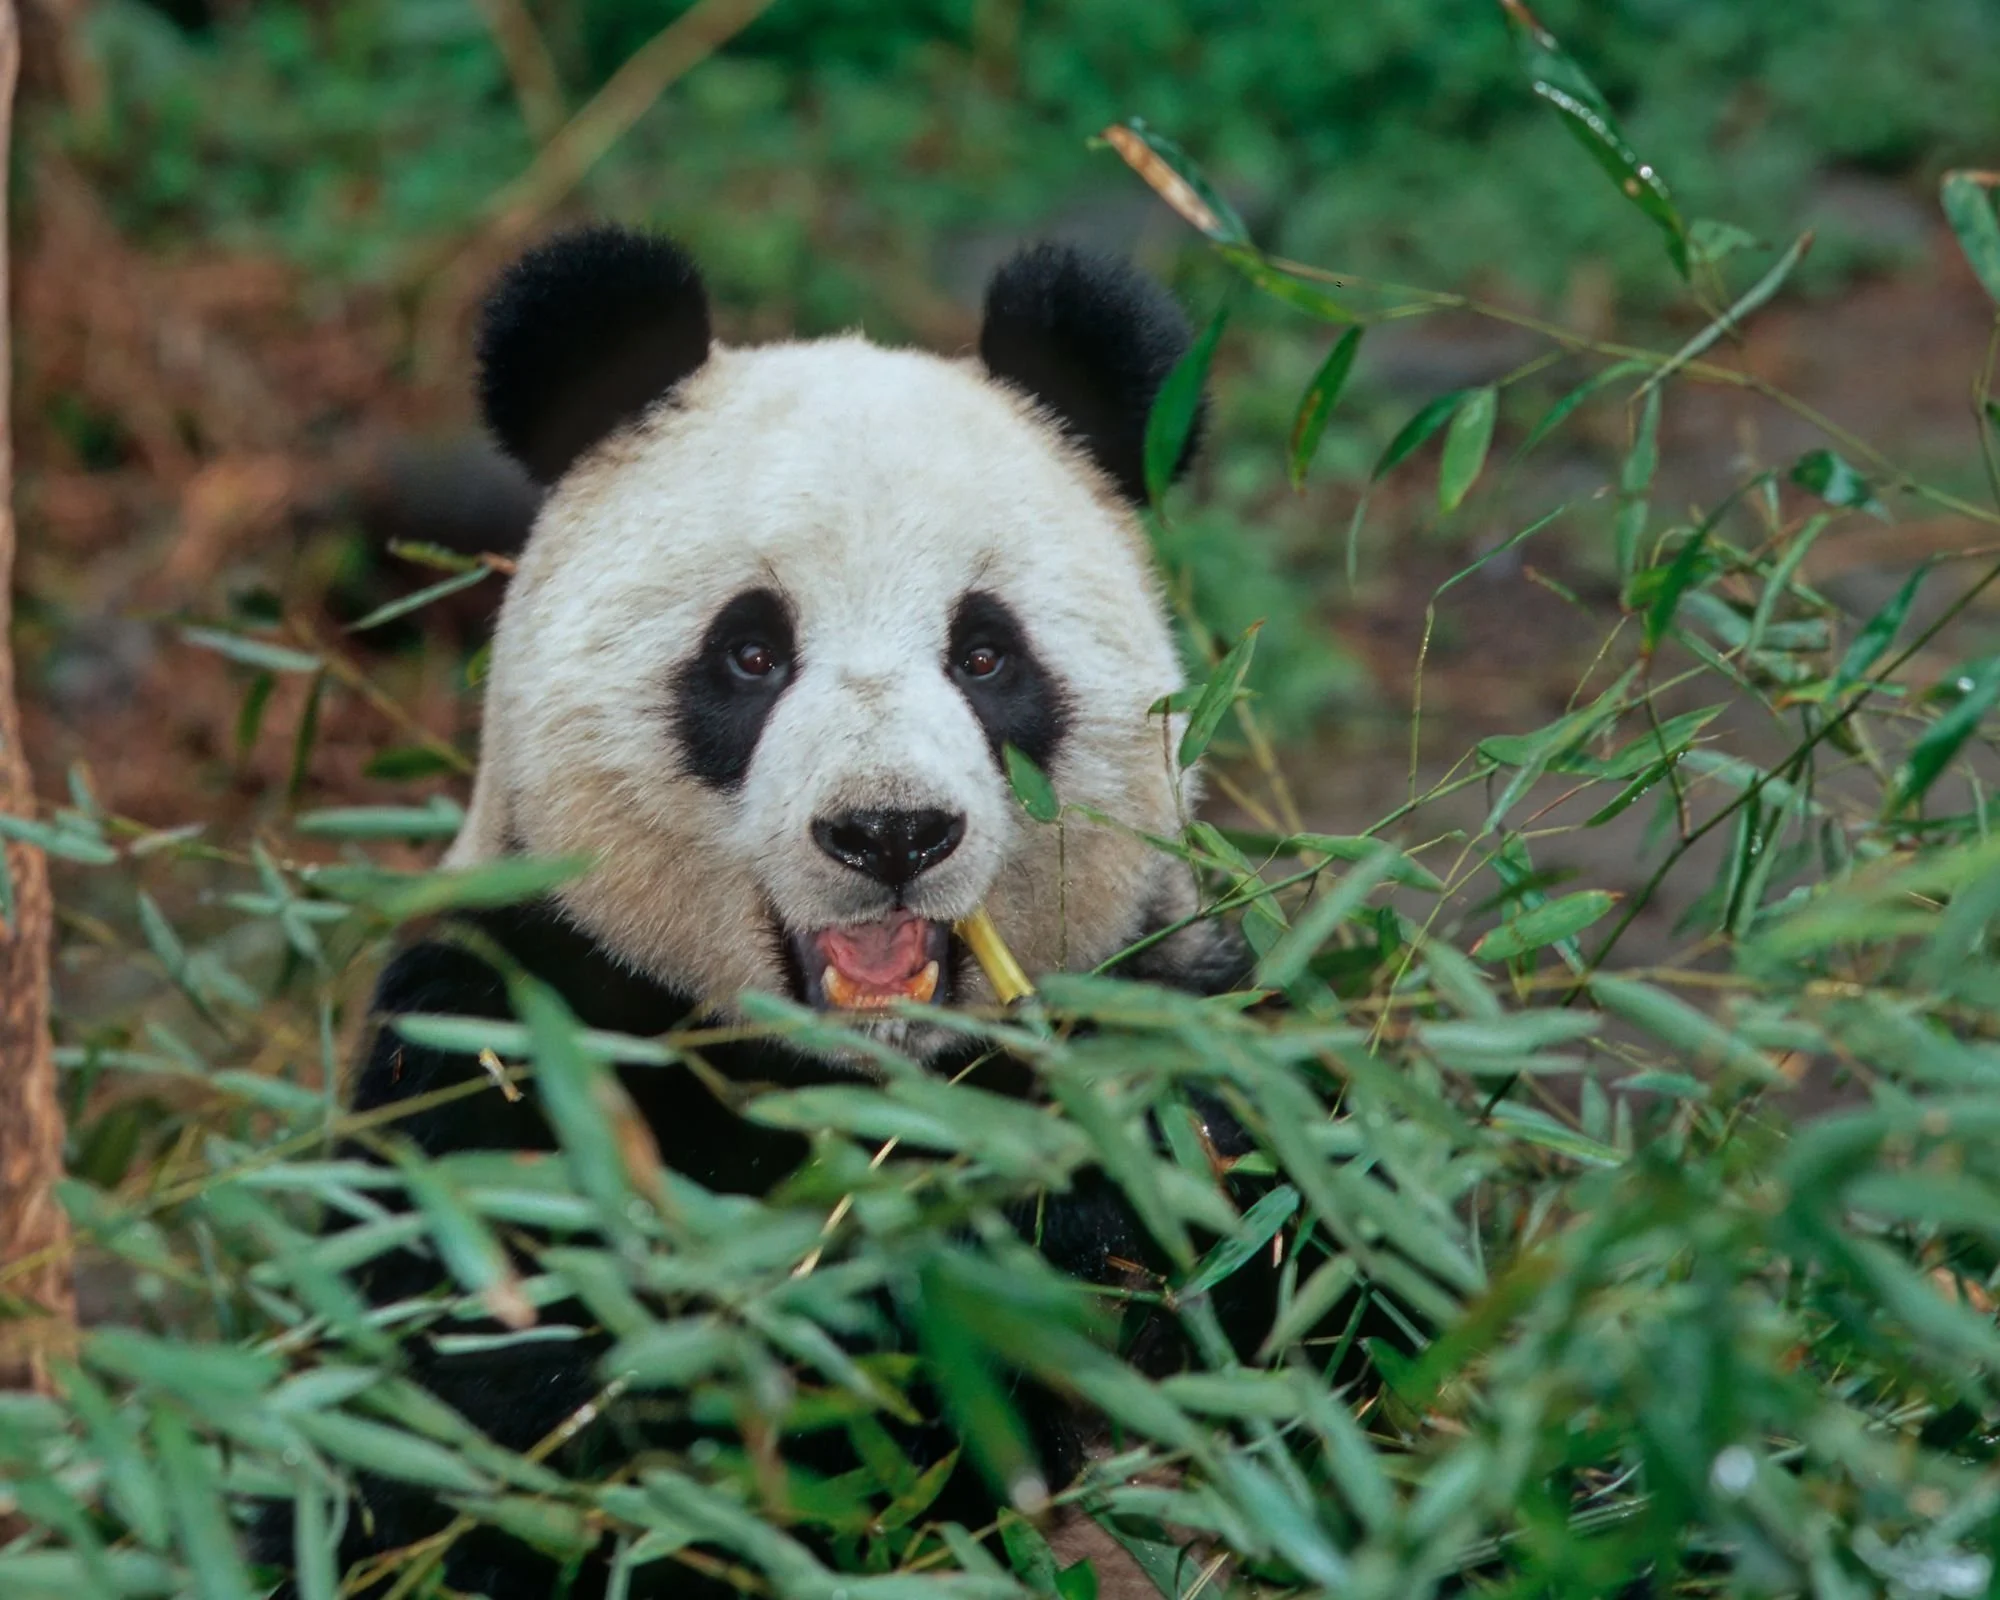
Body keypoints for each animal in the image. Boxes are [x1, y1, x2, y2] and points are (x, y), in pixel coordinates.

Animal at [313, 224, 1265, 1597]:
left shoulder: (1168, 1014)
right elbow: (513, 1450)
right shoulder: (505, 1055)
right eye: (751, 653)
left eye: (985, 654)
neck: (861, 1090)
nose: (888, 832)